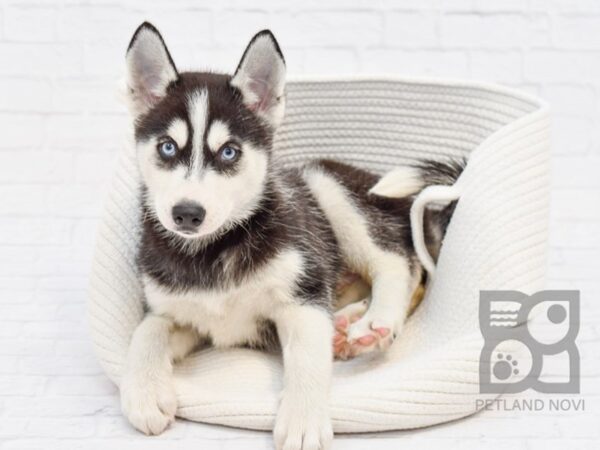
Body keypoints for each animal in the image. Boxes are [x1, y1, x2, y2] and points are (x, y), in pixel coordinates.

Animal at [119, 22, 462, 450]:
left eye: (229, 152)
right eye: (167, 147)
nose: (187, 213)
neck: (214, 251)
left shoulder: (303, 295)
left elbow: (306, 358)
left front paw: (303, 418)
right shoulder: (180, 315)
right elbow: (146, 331)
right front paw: (145, 392)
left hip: (326, 185)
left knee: (401, 263)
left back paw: (374, 322)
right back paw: (347, 324)